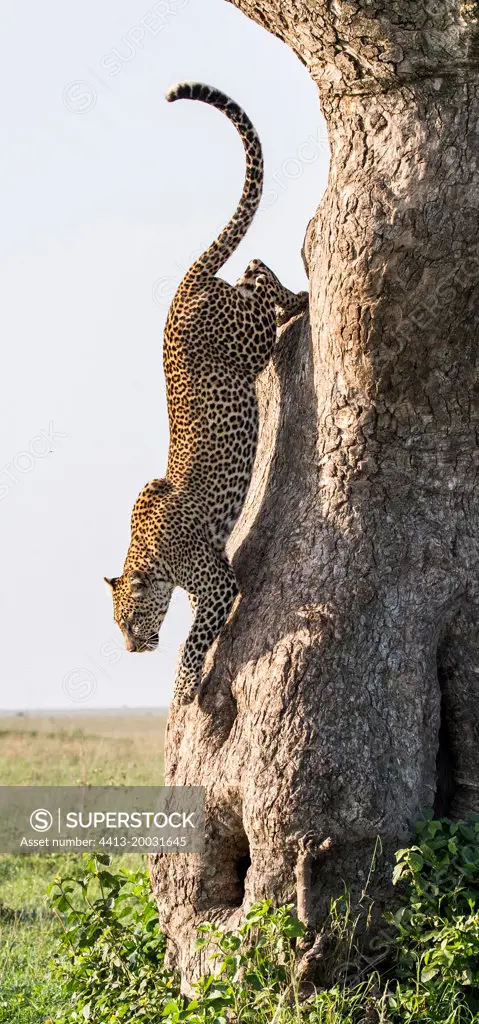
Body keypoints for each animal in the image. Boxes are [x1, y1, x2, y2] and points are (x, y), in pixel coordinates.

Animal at [103, 81, 307, 704]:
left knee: (260, 278)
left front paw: (186, 688)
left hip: (248, 340)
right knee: (252, 265)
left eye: (130, 620)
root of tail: (183, 285)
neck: (149, 557)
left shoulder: (217, 580)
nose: (132, 648)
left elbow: (194, 639)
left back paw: (298, 300)